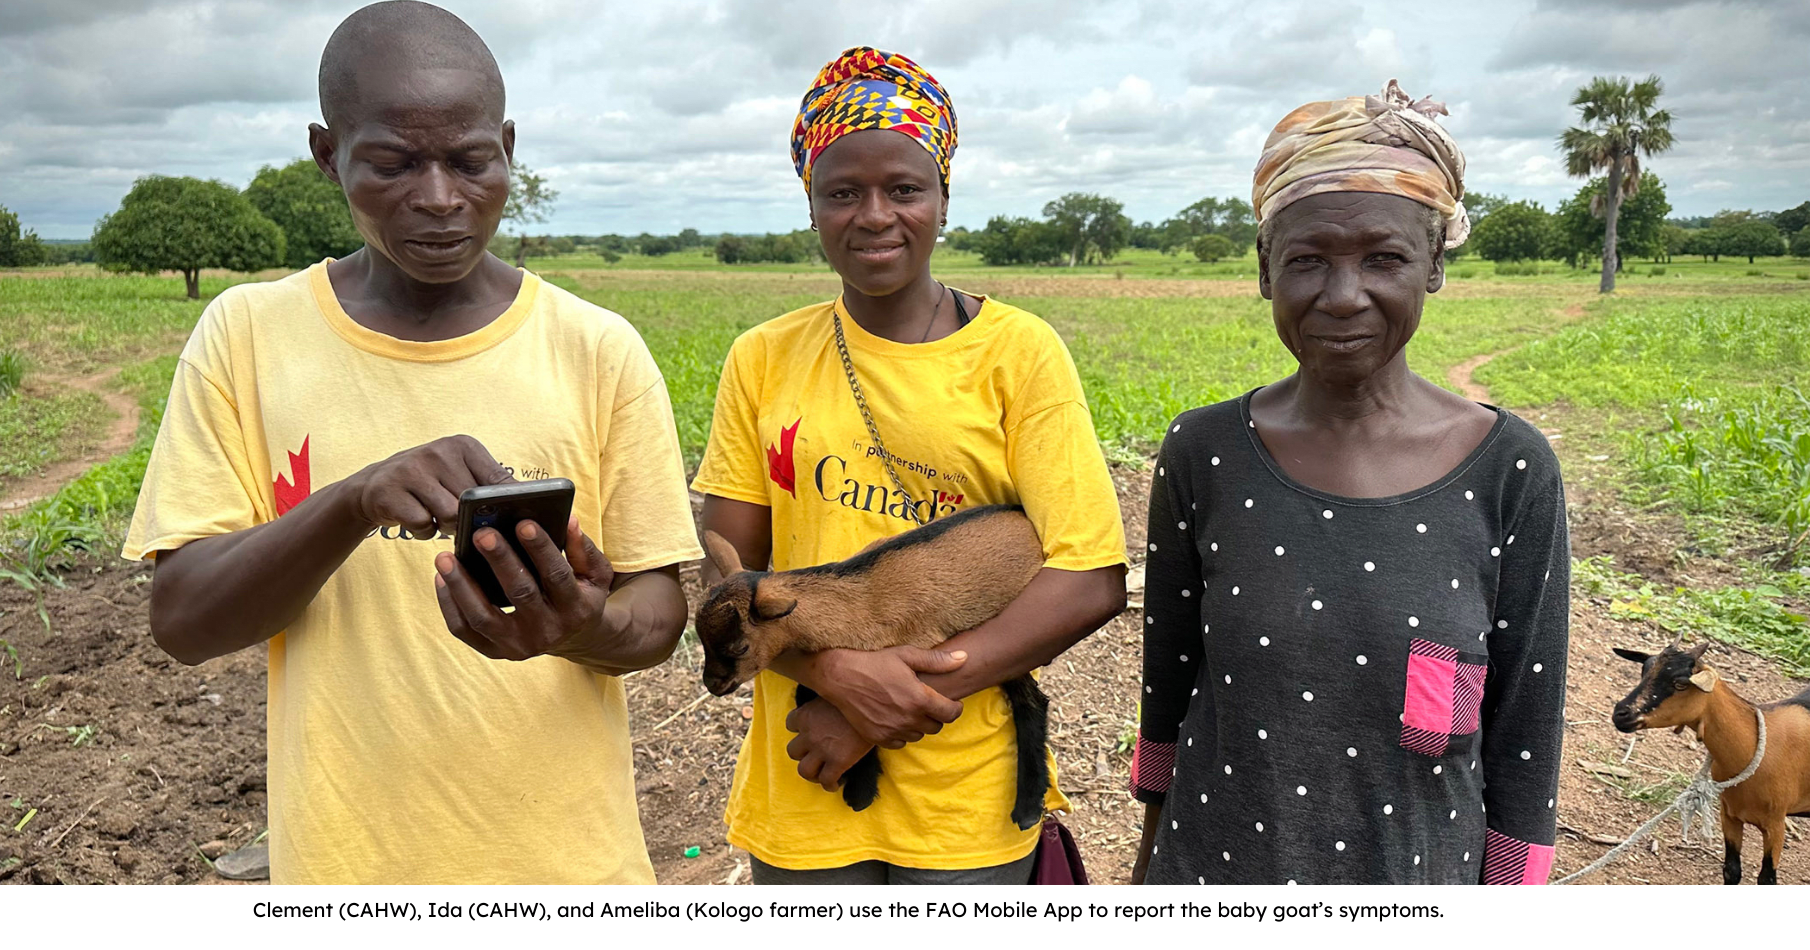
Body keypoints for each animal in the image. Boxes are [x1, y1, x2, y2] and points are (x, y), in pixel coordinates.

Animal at [698, 506, 1057, 825]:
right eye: (703, 641)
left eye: (740, 647)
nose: (712, 685)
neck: (860, 604)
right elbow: (807, 692)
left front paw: (859, 792)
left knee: (1030, 702)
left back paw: (1027, 808)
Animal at [1621, 640, 1802, 886]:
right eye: (1644, 670)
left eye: (1680, 684)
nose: (1619, 713)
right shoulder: (1730, 816)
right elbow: (1731, 870)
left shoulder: (1776, 825)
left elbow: (1767, 879)